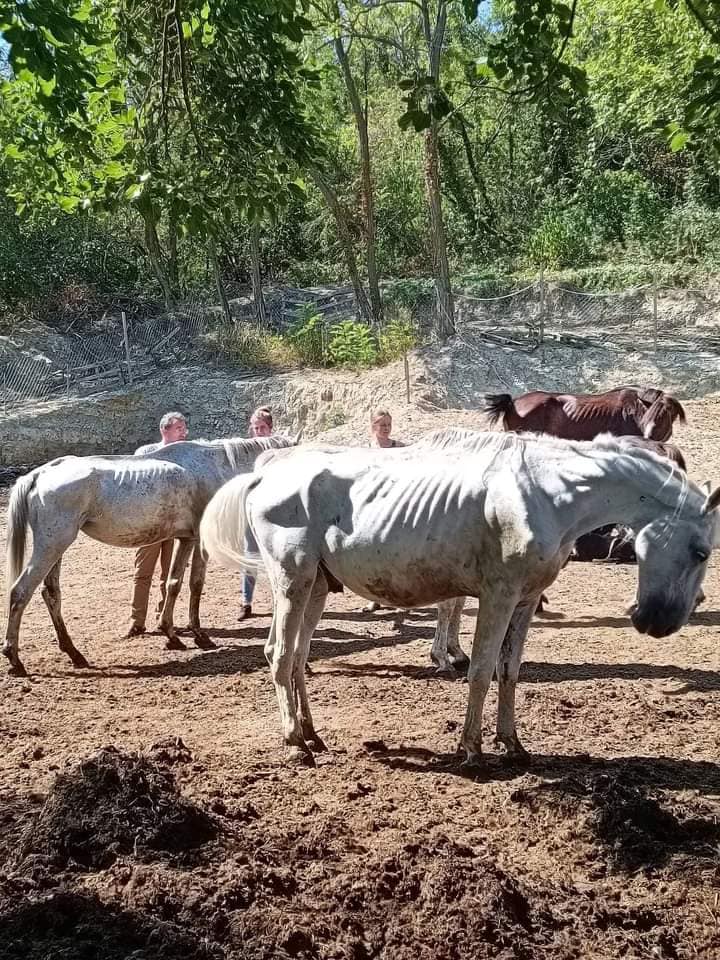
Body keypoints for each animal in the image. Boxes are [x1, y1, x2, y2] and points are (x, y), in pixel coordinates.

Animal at [2, 436, 296, 676]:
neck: (212, 467)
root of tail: (40, 474)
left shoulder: (184, 539)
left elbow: (173, 583)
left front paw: (171, 635)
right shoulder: (199, 542)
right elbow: (194, 584)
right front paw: (198, 636)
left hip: (56, 548)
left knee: (51, 594)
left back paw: (74, 654)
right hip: (52, 545)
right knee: (20, 592)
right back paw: (15, 659)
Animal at [201, 434, 720, 764]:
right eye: (702, 550)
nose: (657, 621)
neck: (546, 494)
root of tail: (265, 474)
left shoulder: (525, 601)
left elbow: (510, 671)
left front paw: (513, 744)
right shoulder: (497, 597)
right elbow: (481, 671)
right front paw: (472, 748)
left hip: (316, 589)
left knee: (296, 657)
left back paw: (313, 734)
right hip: (291, 580)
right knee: (279, 654)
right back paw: (295, 743)